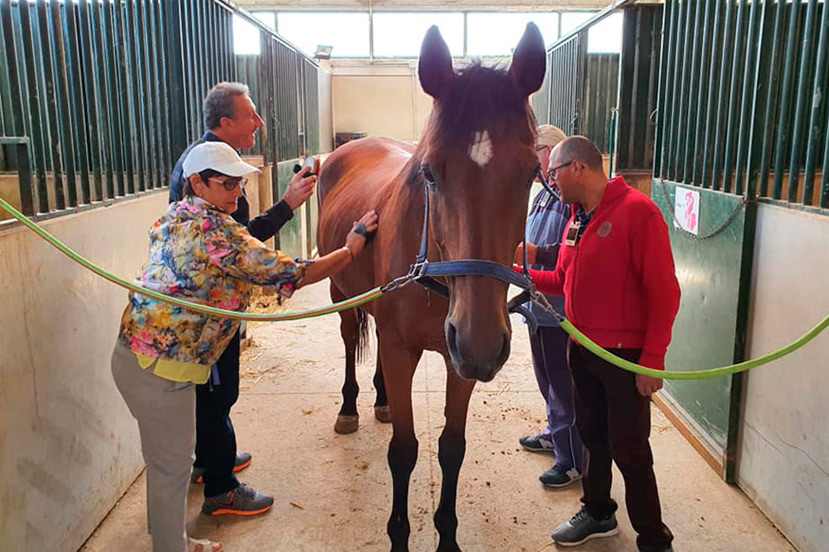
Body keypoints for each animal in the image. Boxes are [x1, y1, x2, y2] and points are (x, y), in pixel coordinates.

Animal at [316, 23, 544, 548]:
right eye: (430, 173)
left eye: (531, 174)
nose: (482, 341)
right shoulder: (405, 350)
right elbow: (404, 450)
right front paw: (400, 535)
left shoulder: (460, 364)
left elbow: (451, 448)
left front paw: (448, 535)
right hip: (342, 296)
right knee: (349, 340)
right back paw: (352, 406)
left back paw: (380, 399)